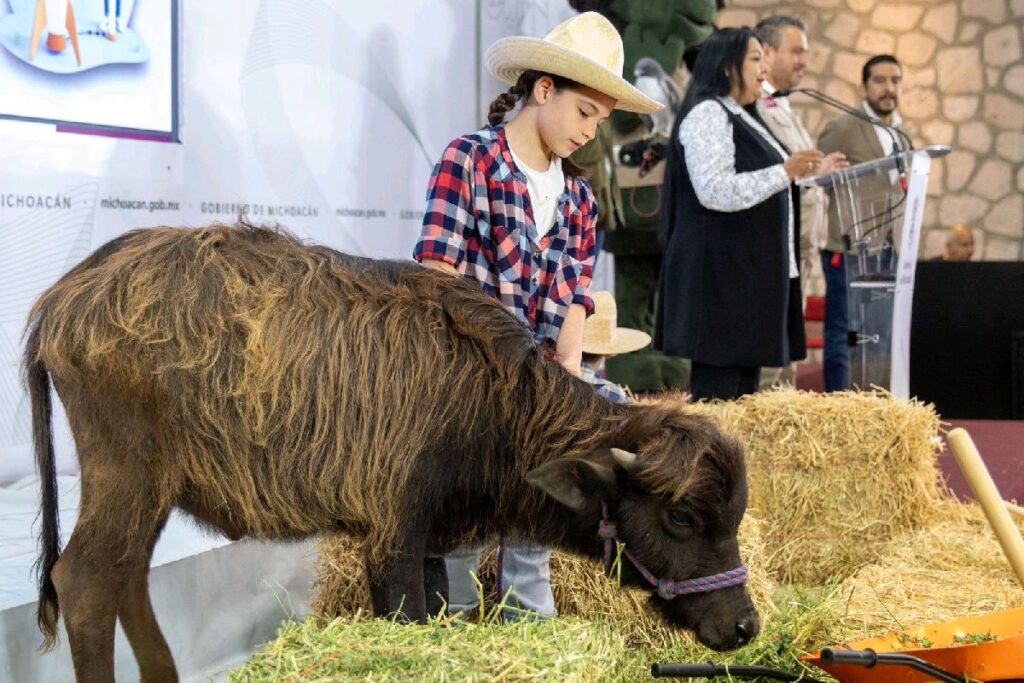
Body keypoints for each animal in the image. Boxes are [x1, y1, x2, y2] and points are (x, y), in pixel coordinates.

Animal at [24, 224, 761, 679]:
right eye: (682, 518)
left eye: (733, 516)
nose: (745, 625)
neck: (496, 402)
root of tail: (65, 295)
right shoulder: (394, 539)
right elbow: (406, 614)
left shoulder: (429, 540)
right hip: (125, 477)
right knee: (86, 580)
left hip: (149, 493)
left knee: (126, 576)